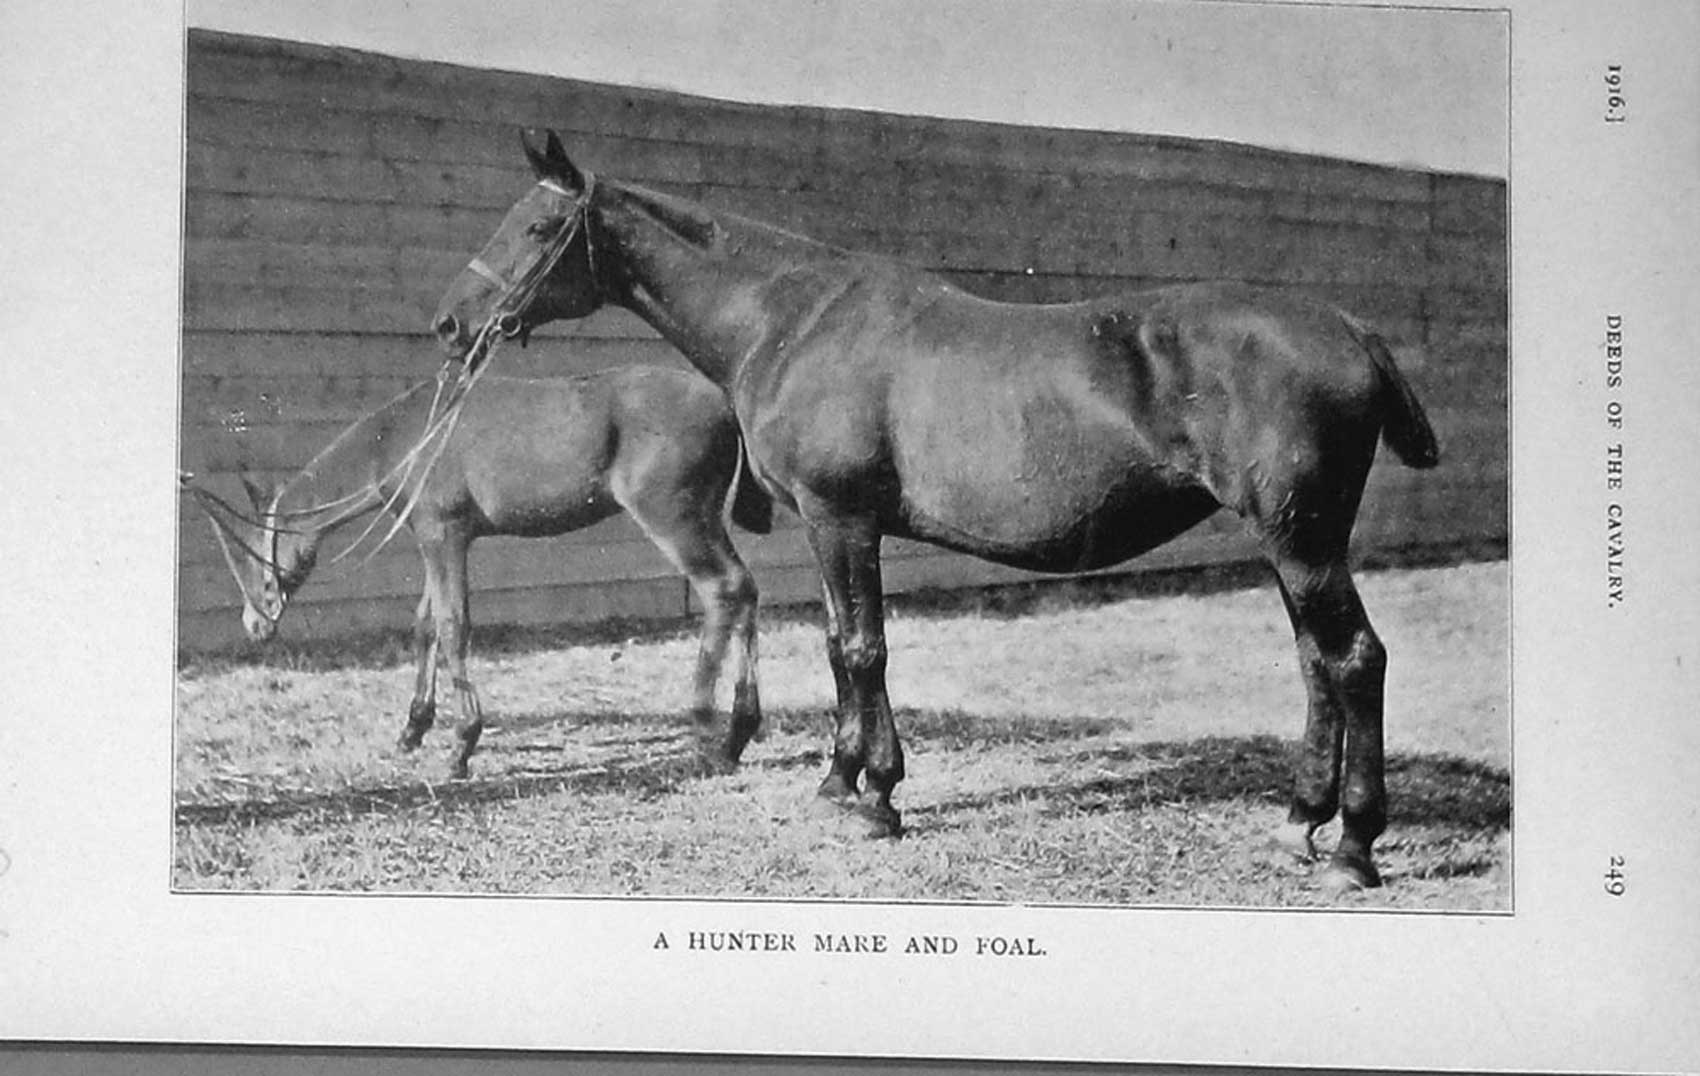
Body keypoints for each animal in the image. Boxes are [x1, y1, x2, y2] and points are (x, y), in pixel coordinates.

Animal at [188, 365, 770, 778]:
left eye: (257, 554)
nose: (255, 623)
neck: (406, 435)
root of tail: (726, 407)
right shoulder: (434, 537)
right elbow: (425, 624)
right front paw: (413, 728)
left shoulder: (444, 534)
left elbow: (453, 625)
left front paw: (462, 744)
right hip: (706, 521)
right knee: (746, 590)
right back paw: (740, 731)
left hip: (674, 519)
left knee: (723, 590)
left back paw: (705, 730)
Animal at [429, 130, 1441, 891]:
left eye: (538, 224)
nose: (450, 322)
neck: (791, 321)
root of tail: (1350, 329)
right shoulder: (824, 526)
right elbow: (838, 647)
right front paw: (838, 782)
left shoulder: (842, 519)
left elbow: (864, 649)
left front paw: (877, 798)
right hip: (1289, 543)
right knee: (1316, 664)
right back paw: (1298, 820)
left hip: (1303, 539)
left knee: (1355, 659)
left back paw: (1353, 848)